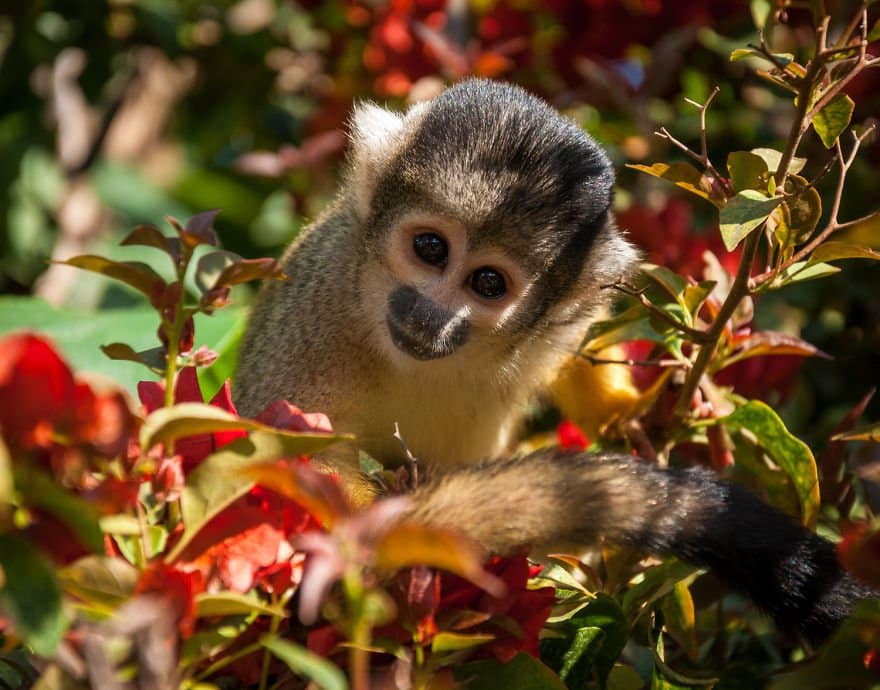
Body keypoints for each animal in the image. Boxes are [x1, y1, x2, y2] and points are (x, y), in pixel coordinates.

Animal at [235, 78, 873, 644]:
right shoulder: (322, 296)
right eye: (430, 248)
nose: (428, 315)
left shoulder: (558, 320)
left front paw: (627, 412)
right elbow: (284, 450)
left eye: (488, 283)